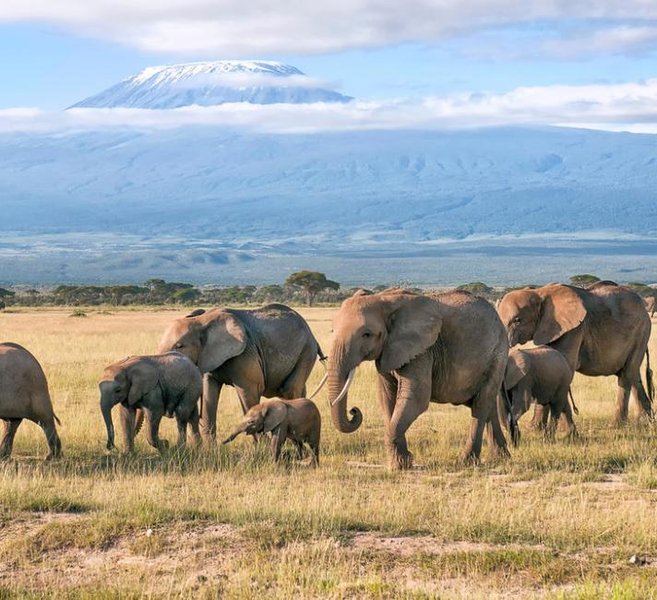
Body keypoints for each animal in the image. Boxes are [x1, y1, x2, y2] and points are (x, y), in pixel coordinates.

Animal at [157, 304, 325, 442]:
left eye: (179, 346)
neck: (201, 320)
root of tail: (312, 336)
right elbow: (209, 394)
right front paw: (211, 450)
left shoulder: (245, 354)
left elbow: (248, 393)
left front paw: (263, 450)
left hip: (306, 351)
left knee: (290, 389)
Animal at [327, 288, 515, 469]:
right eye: (332, 330)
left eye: (366, 334)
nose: (353, 411)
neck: (383, 298)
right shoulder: (388, 352)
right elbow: (387, 398)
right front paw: (401, 462)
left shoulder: (422, 350)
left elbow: (416, 399)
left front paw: (402, 464)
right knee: (487, 404)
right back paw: (501, 457)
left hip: (498, 353)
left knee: (481, 404)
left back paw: (467, 462)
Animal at [497, 281, 654, 425]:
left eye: (517, 320)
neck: (540, 292)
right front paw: (536, 429)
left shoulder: (575, 329)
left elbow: (564, 367)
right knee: (633, 374)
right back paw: (646, 421)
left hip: (642, 330)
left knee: (627, 375)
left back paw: (618, 424)